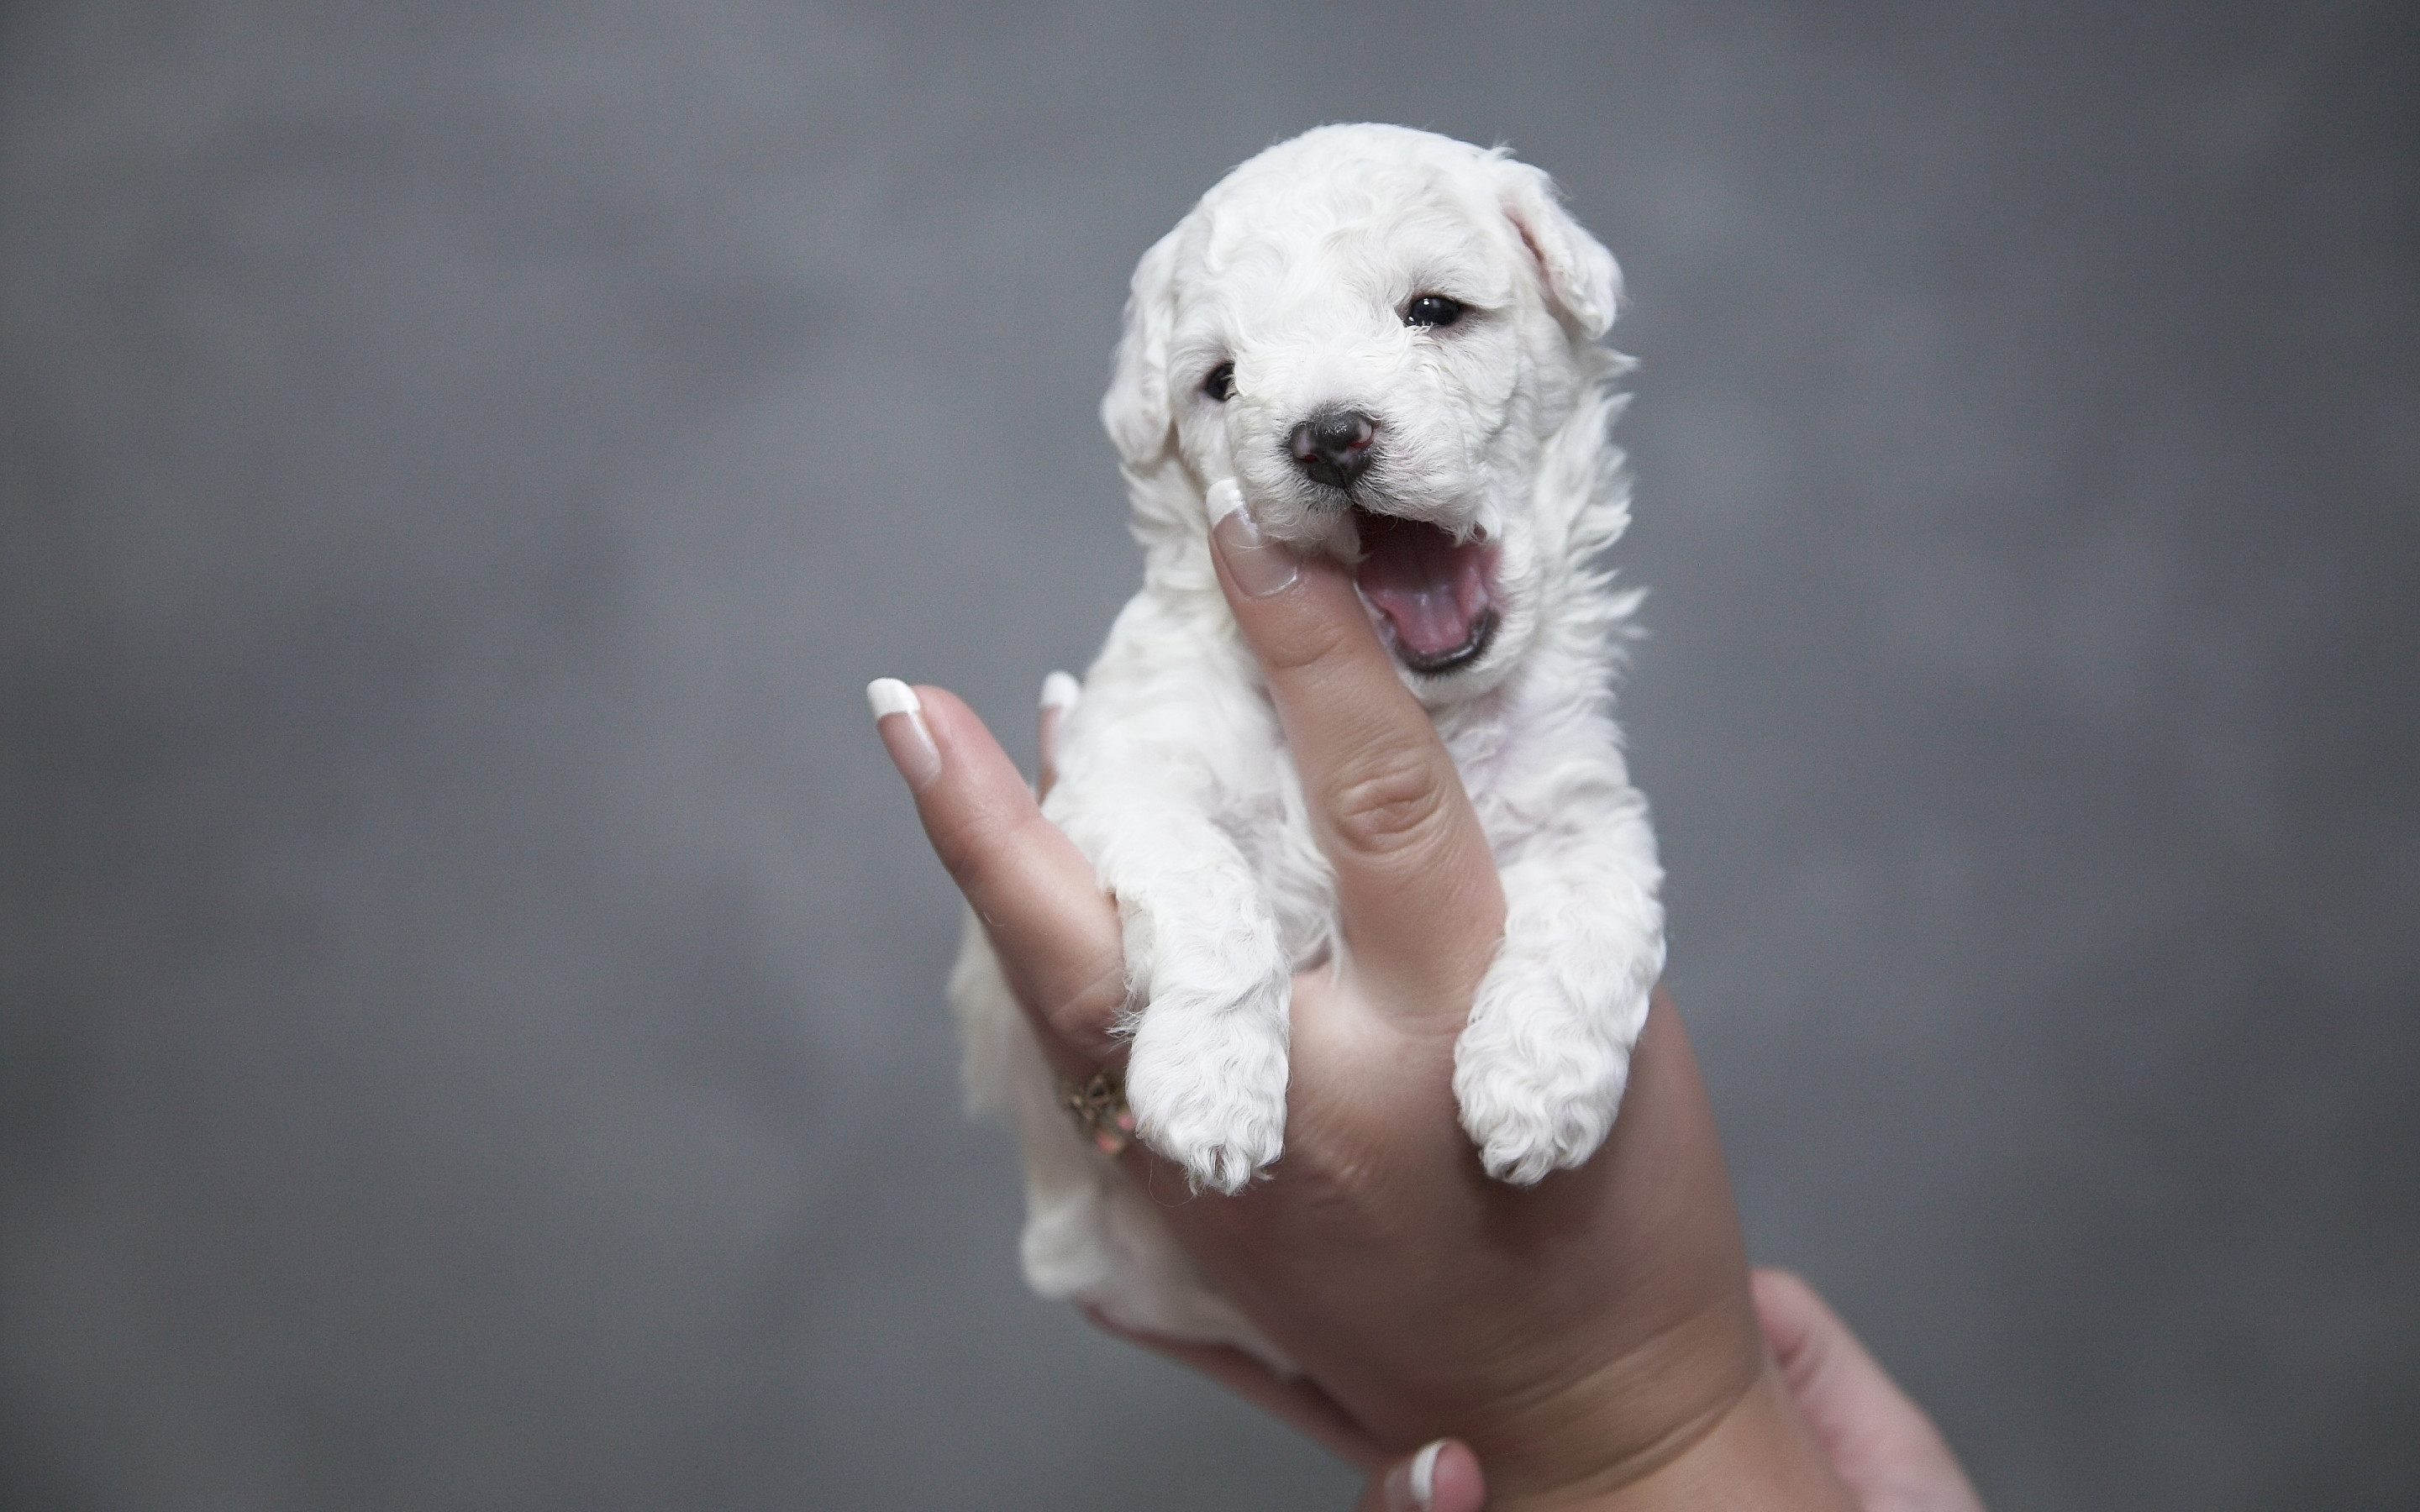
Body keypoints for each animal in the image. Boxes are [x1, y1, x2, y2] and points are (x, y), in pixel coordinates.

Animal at [944, 123, 1665, 1364]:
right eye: (1222, 380)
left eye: (1434, 310)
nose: (1328, 437)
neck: (1422, 711)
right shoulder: (1121, 784)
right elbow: (1215, 896)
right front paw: (1211, 1091)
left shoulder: (1585, 811)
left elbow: (1597, 913)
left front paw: (1535, 1093)